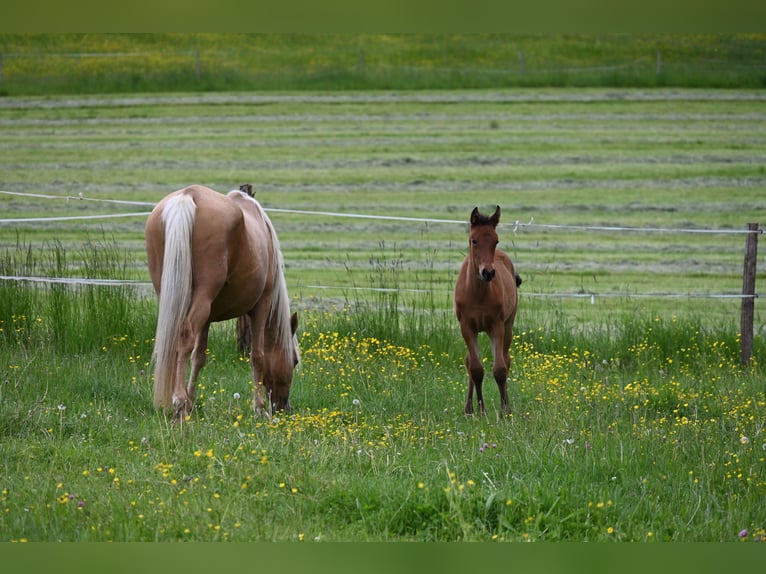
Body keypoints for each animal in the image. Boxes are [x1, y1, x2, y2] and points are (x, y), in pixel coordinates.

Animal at [145, 184, 300, 422]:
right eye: (295, 360)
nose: (285, 407)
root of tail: (188, 195)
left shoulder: (207, 318)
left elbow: (198, 357)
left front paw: (191, 401)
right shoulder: (261, 306)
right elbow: (257, 356)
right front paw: (260, 408)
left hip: (172, 297)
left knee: (172, 341)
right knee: (184, 336)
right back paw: (178, 403)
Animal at [454, 206, 521, 416]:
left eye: (495, 240)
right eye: (474, 240)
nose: (488, 272)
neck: (478, 294)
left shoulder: (496, 326)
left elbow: (499, 369)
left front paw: (505, 411)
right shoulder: (466, 327)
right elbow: (475, 368)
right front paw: (480, 410)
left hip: (508, 325)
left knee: (506, 360)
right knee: (469, 362)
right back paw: (468, 408)